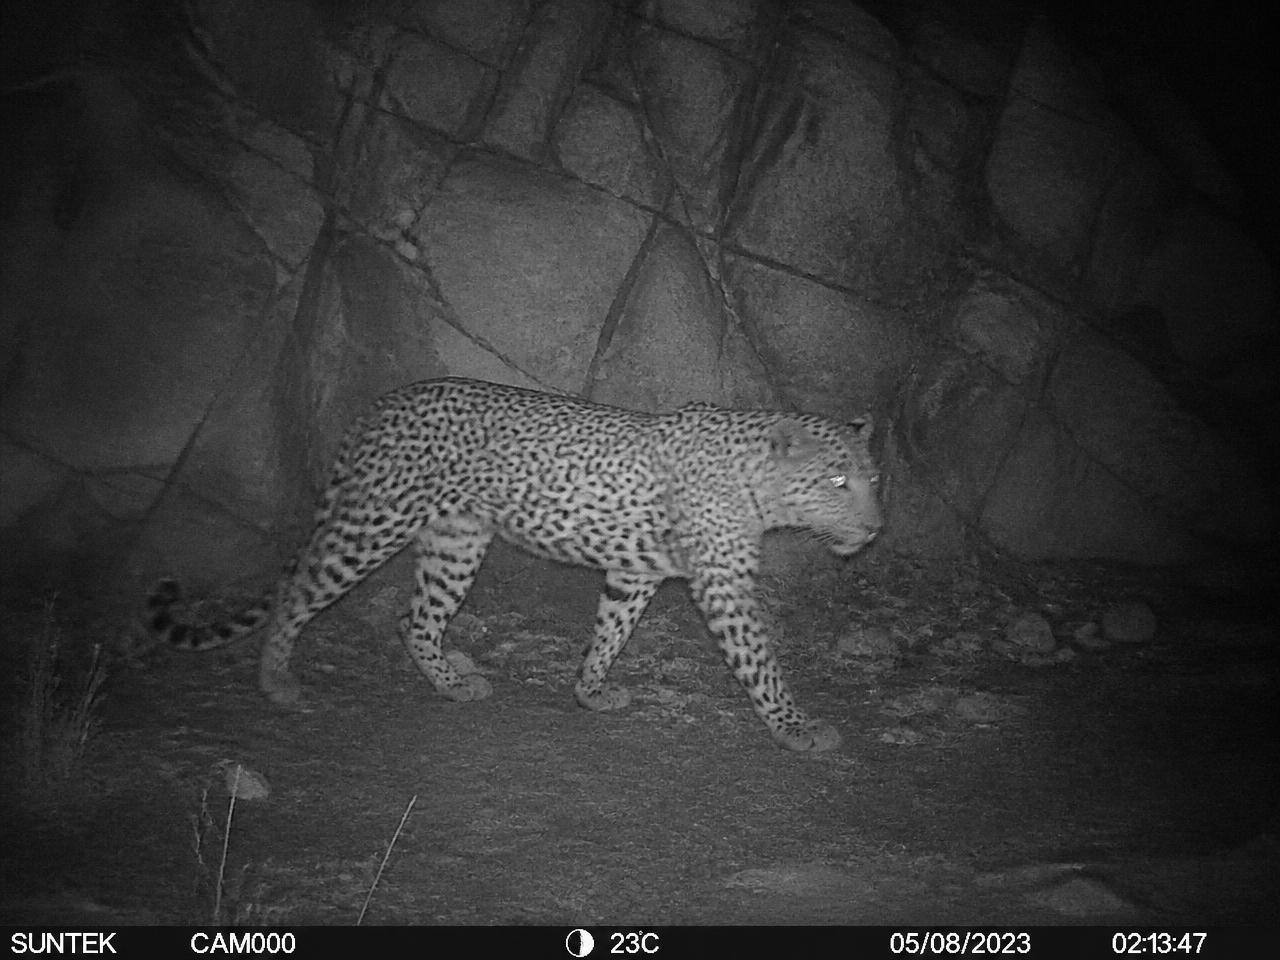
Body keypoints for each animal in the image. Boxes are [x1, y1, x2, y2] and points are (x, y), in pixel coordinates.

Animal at [146, 377, 882, 752]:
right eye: (837, 481)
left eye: (873, 479)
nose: (875, 528)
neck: (757, 484)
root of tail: (384, 401)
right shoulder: (723, 585)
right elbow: (758, 660)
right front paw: (796, 727)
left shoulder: (635, 574)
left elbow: (610, 634)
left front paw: (589, 693)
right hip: (376, 523)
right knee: (301, 588)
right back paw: (276, 681)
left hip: (456, 541)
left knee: (416, 620)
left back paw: (452, 684)